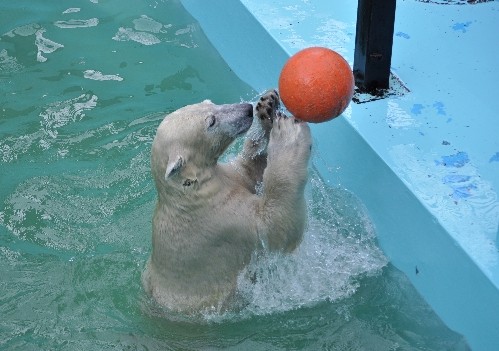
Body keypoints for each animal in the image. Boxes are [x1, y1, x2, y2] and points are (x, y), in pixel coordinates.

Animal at [142, 91, 312, 314]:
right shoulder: (224, 220)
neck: (190, 194)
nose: (247, 109)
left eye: (210, 103)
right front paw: (288, 133)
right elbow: (275, 228)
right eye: (211, 122)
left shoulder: (228, 180)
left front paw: (267, 107)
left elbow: (248, 169)